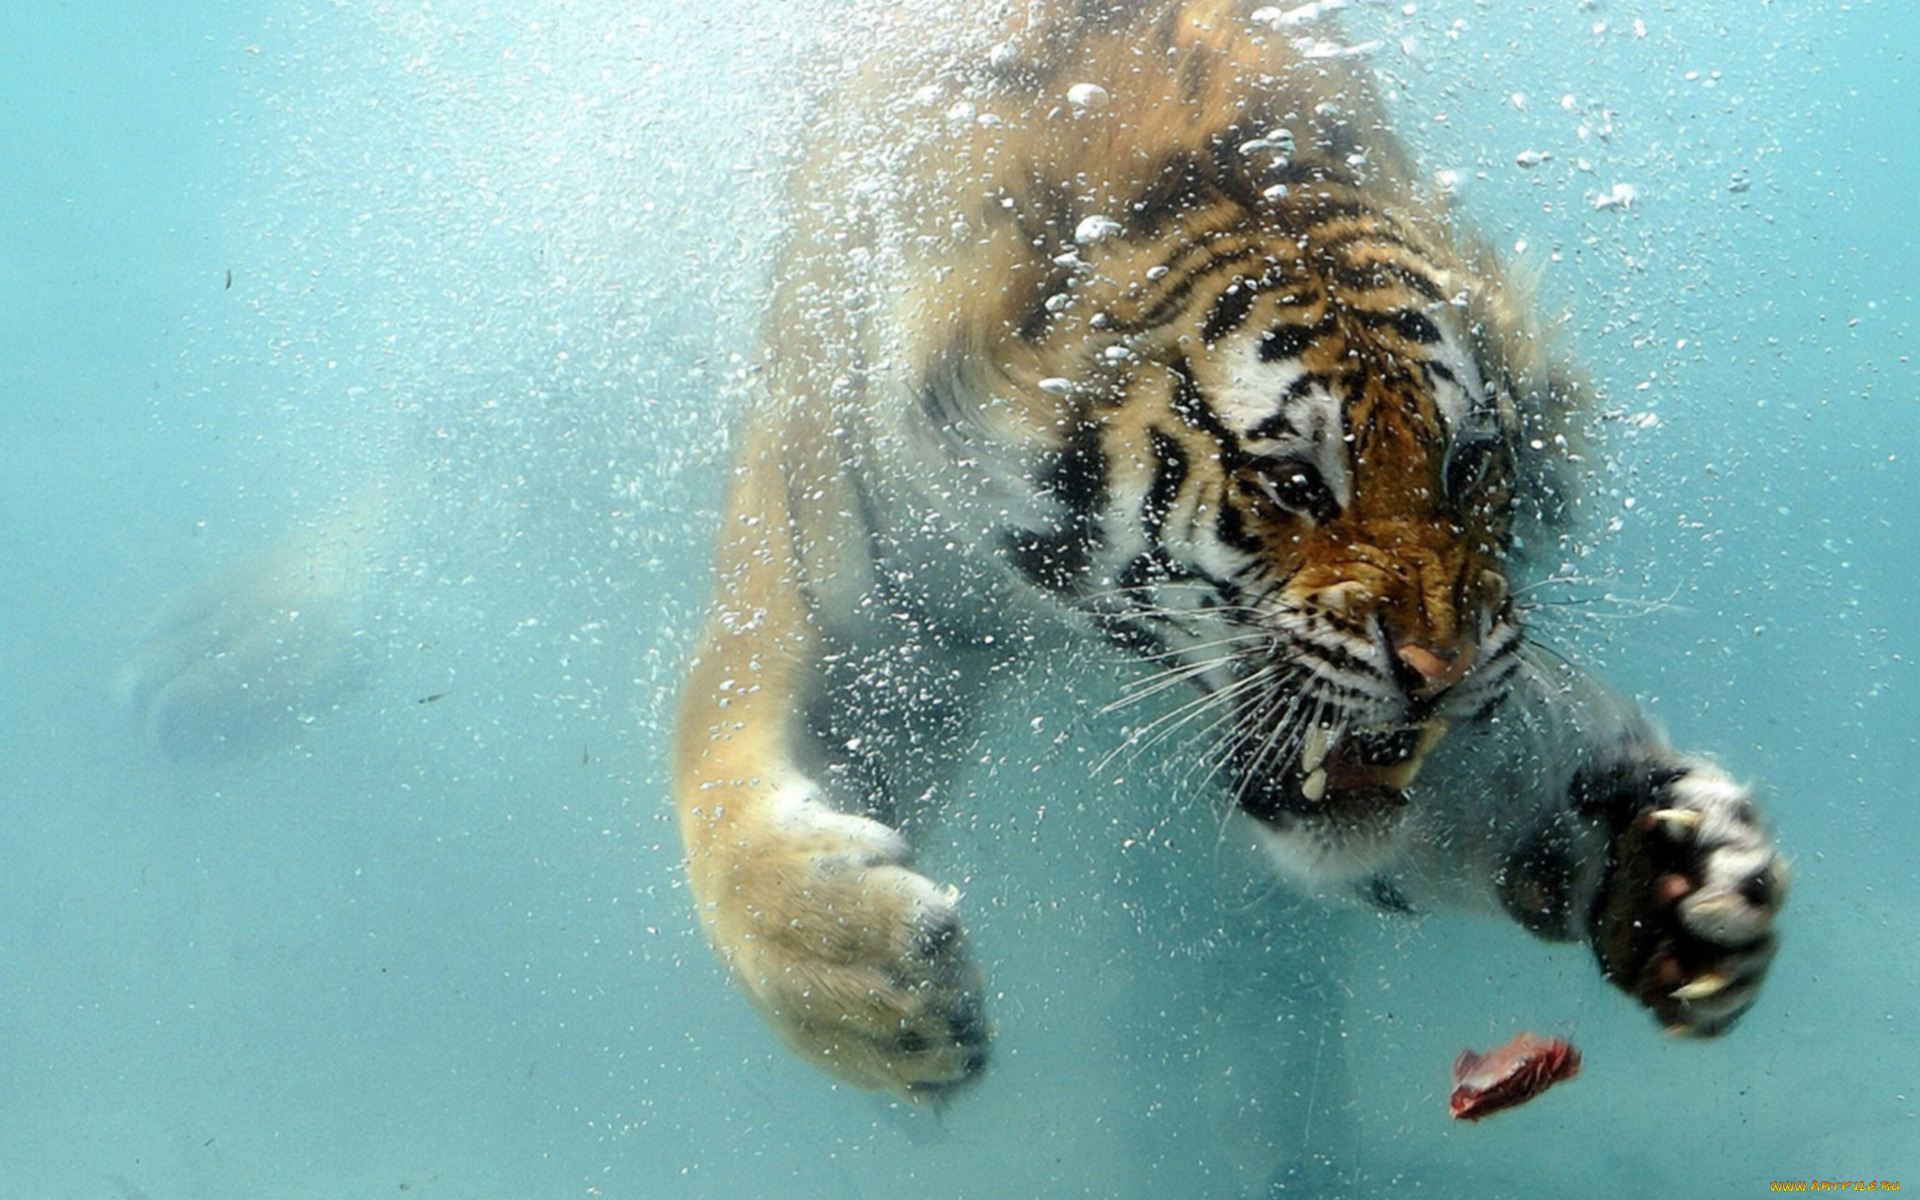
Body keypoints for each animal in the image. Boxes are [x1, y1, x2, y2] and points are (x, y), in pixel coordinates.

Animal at [669, 0, 1787, 1102]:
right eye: (1294, 483)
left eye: (1467, 465)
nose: (1443, 667)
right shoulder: (854, 608)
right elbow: (719, 781)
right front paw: (872, 979)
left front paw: (1675, 873)